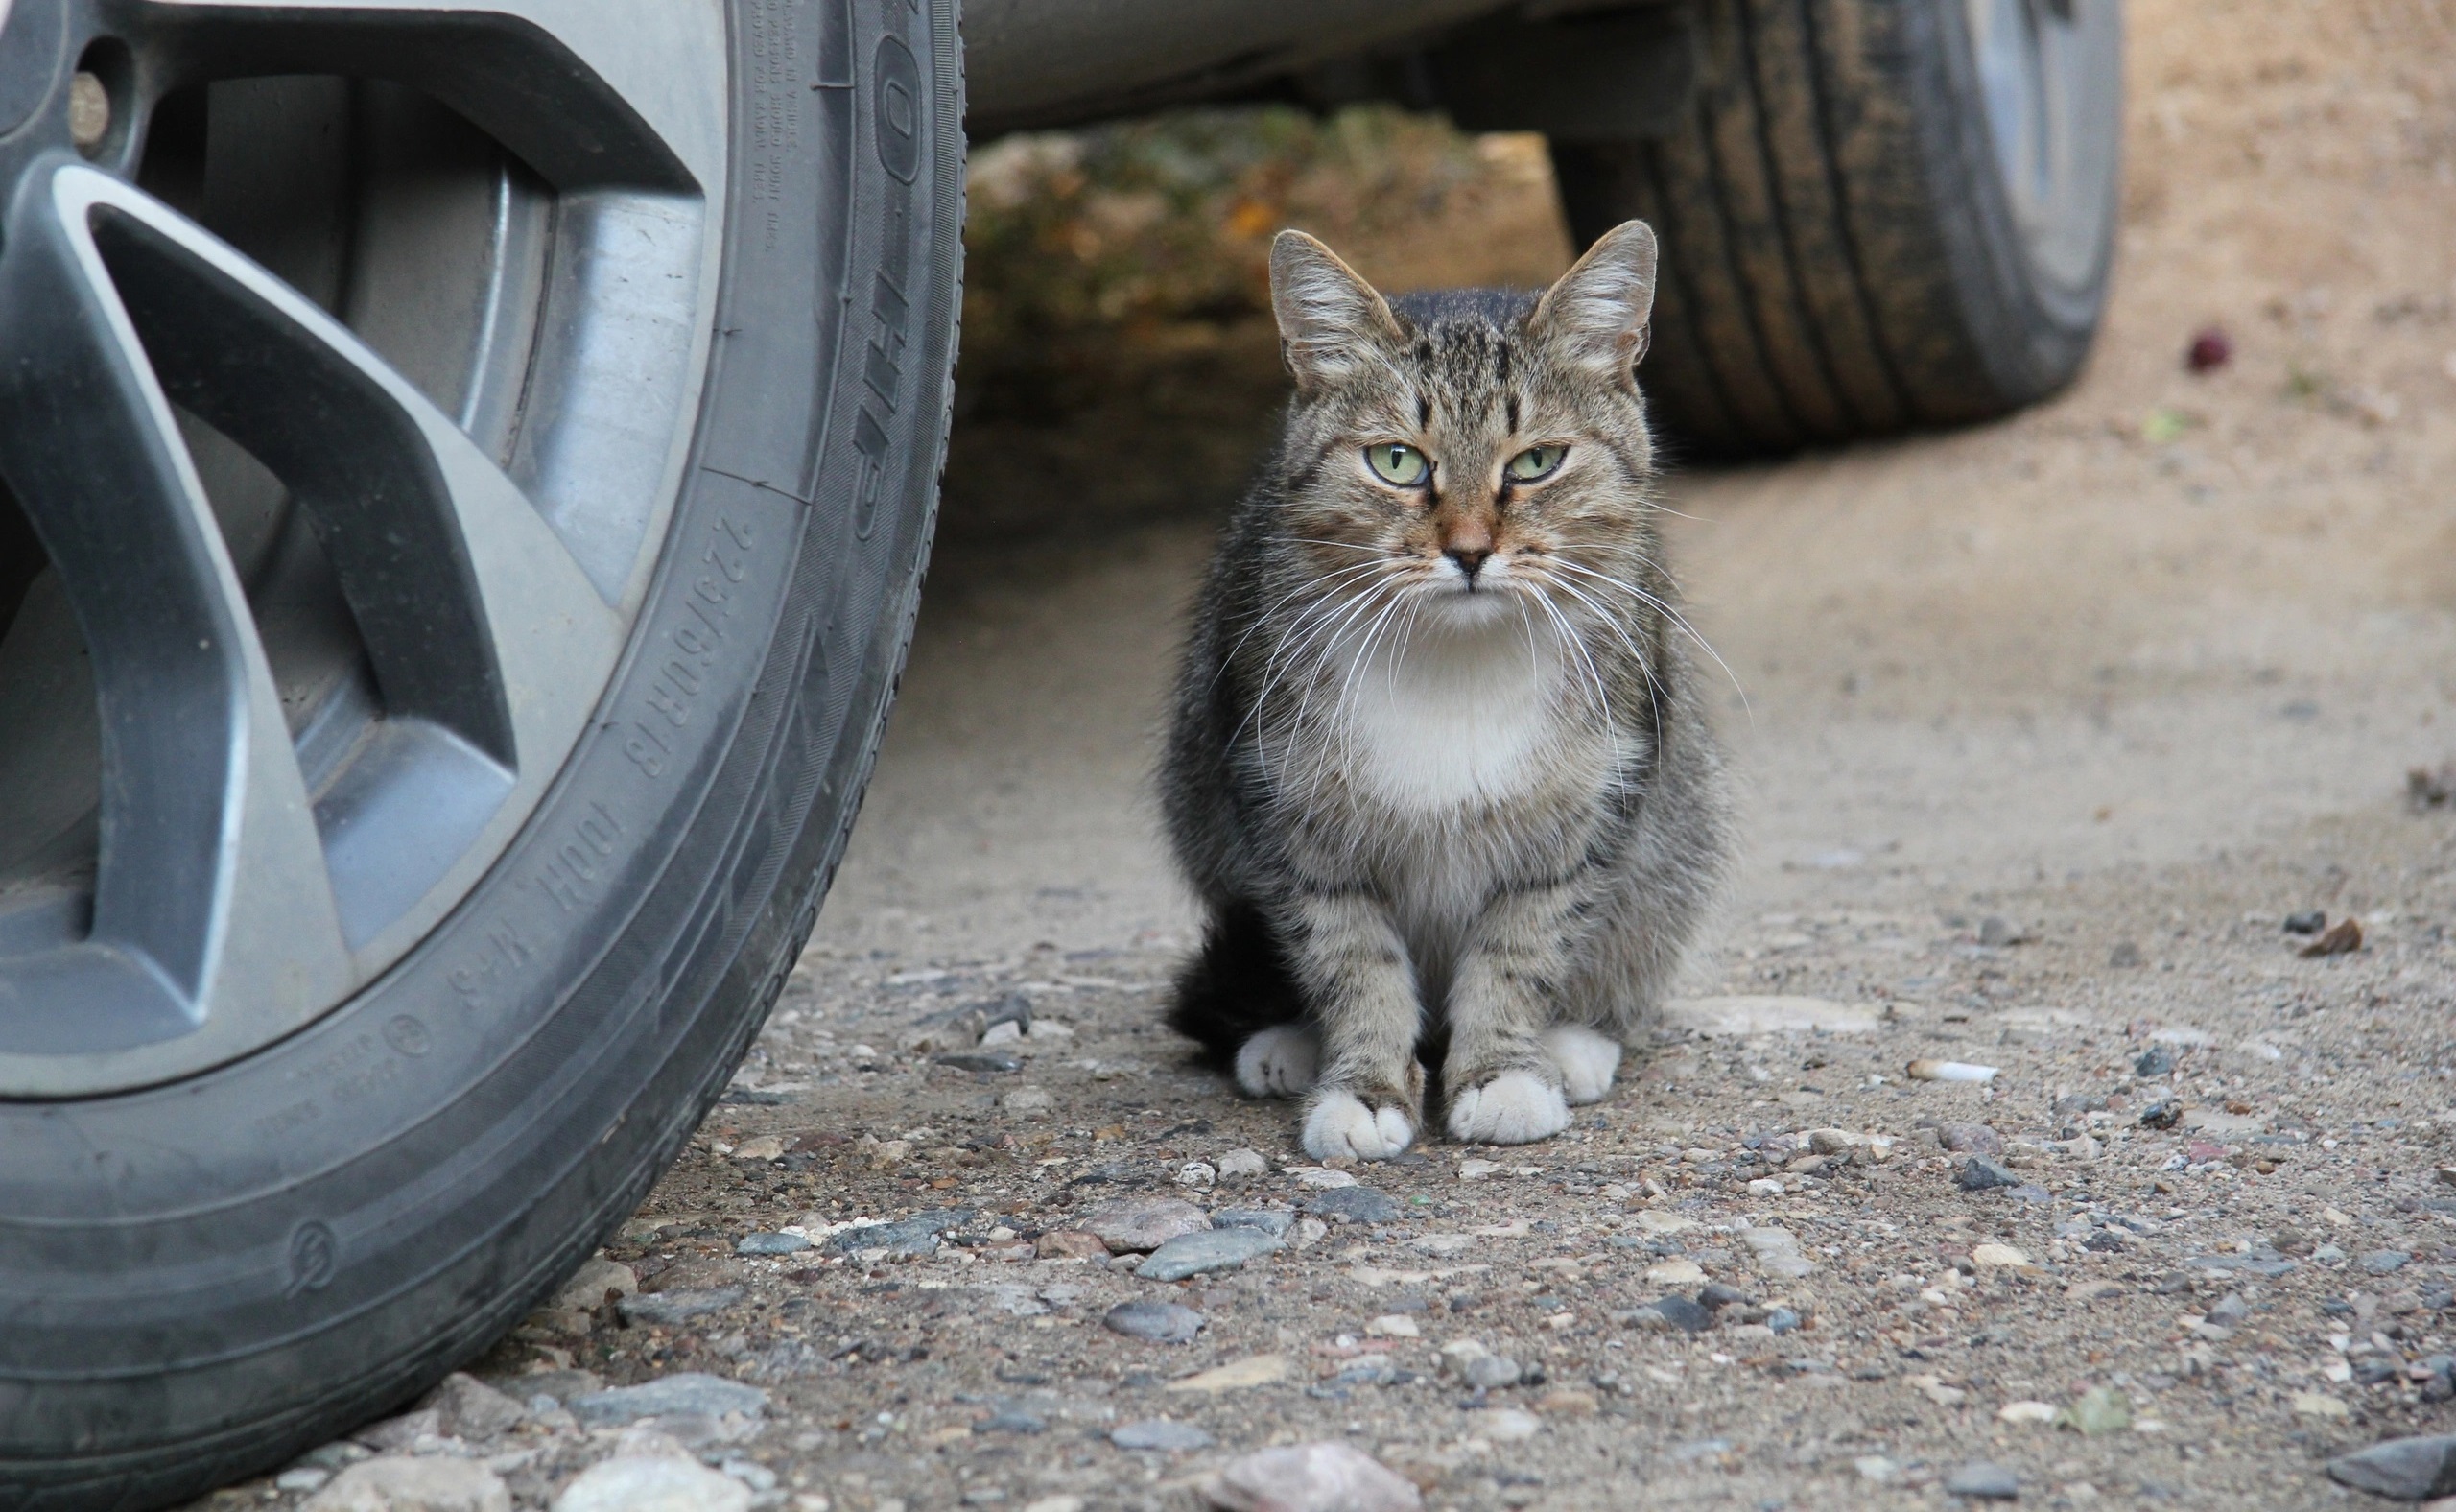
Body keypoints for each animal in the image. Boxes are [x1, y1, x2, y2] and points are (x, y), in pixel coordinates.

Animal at [1164, 218, 1729, 1158]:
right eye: (1397, 462)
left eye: (1537, 462)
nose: (1468, 549)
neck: (1456, 661)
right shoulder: (1289, 816)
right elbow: (1354, 962)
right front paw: (1364, 1086)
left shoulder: (1578, 819)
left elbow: (1519, 953)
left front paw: (1503, 1072)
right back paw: (1286, 1042)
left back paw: (1574, 1042)